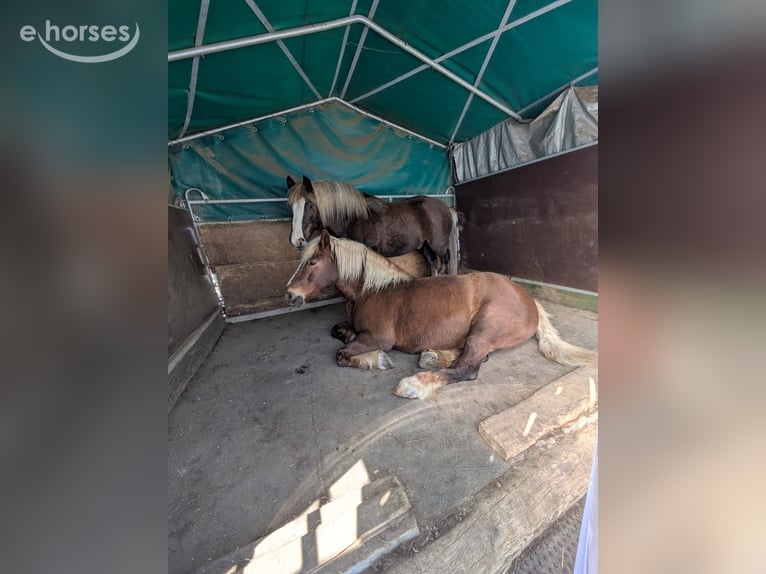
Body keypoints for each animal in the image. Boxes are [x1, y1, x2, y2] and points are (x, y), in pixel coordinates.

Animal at [285, 230, 597, 399]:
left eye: (313, 261)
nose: (289, 295)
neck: (372, 290)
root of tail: (529, 298)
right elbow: (339, 331)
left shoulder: (378, 337)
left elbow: (342, 354)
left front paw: (376, 360)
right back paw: (432, 356)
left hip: (484, 330)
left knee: (468, 368)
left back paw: (414, 384)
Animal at [286, 175, 459, 276]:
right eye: (291, 206)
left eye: (309, 205)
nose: (296, 240)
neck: (354, 219)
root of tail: (446, 207)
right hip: (425, 246)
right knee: (434, 265)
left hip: (438, 246)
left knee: (444, 261)